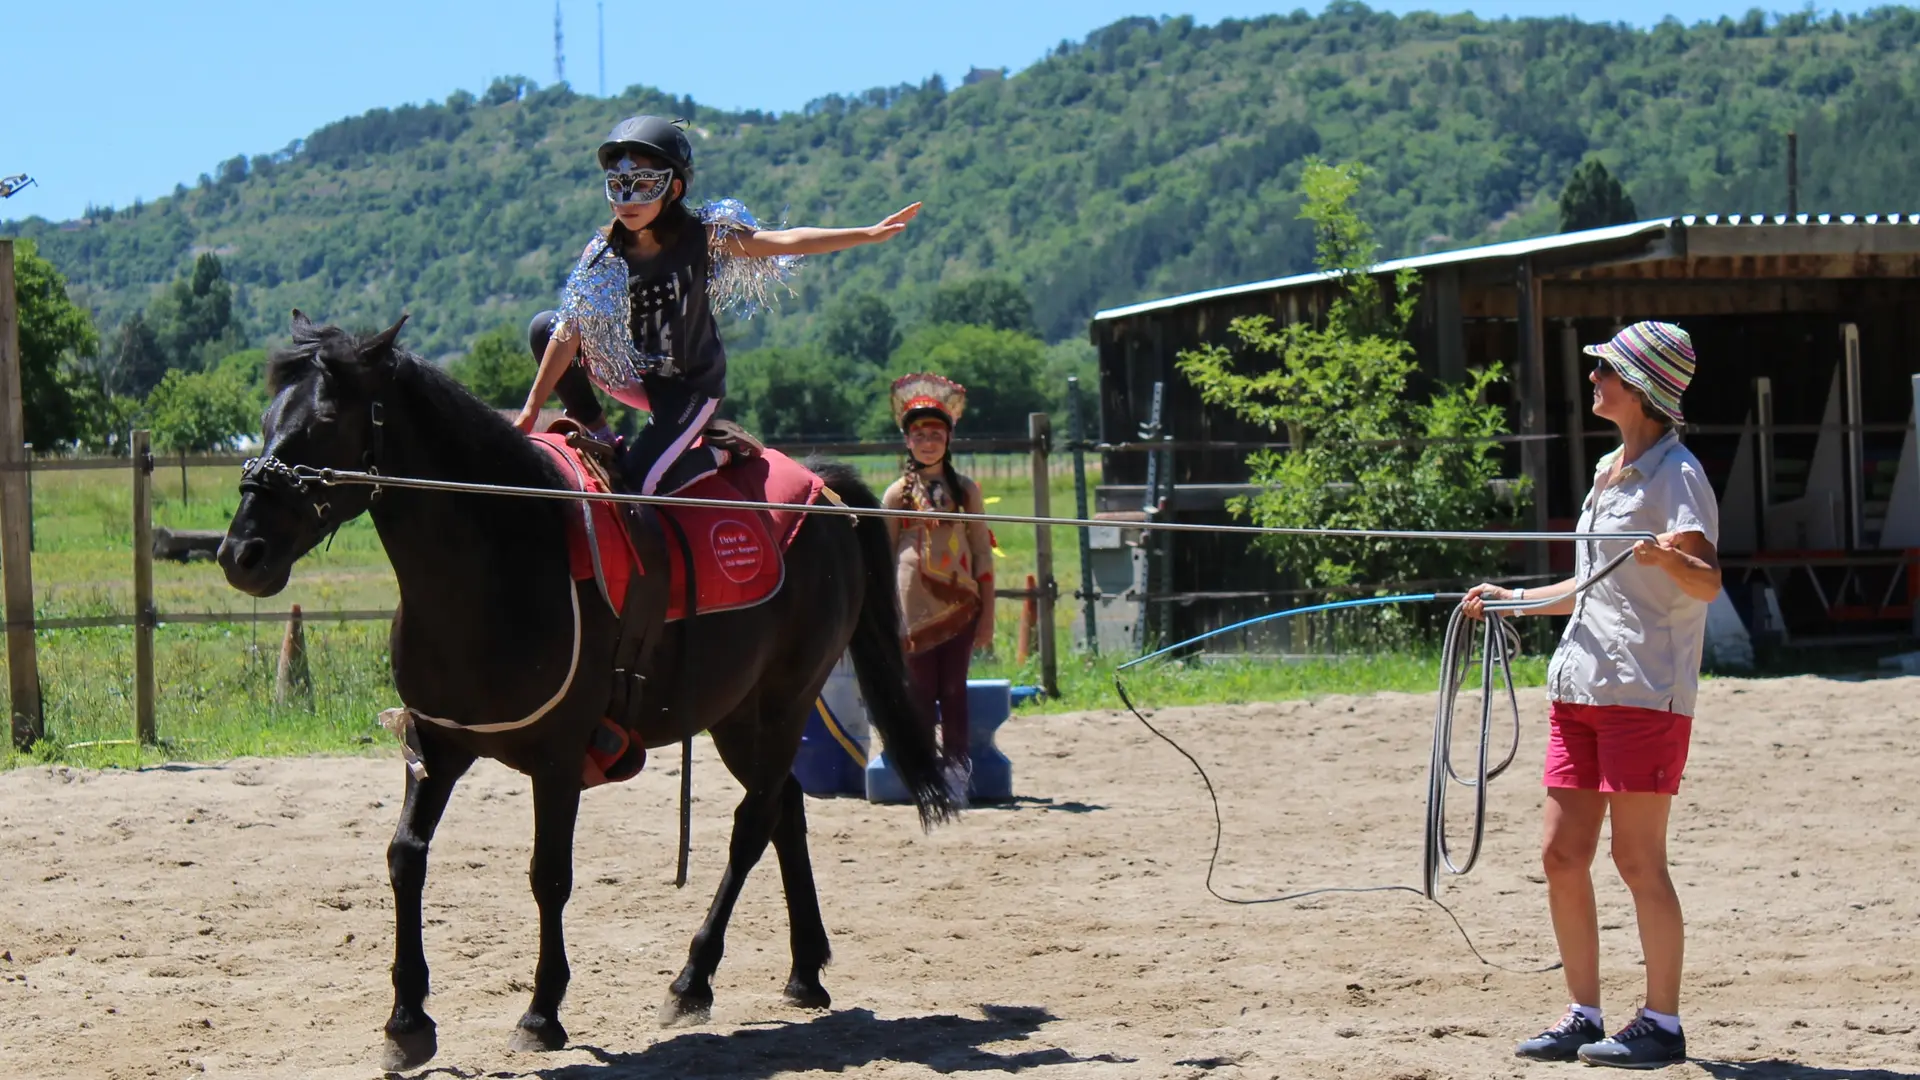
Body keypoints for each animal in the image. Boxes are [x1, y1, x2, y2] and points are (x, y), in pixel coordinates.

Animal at [217, 313, 952, 1068]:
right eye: (266, 421)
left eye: (324, 424)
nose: (242, 554)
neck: (504, 552)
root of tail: (824, 494)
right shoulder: (436, 745)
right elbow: (405, 857)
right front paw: (407, 1020)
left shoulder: (560, 757)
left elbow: (549, 875)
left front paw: (542, 1013)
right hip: (738, 715)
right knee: (786, 810)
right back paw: (804, 971)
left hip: (785, 699)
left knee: (752, 825)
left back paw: (693, 978)